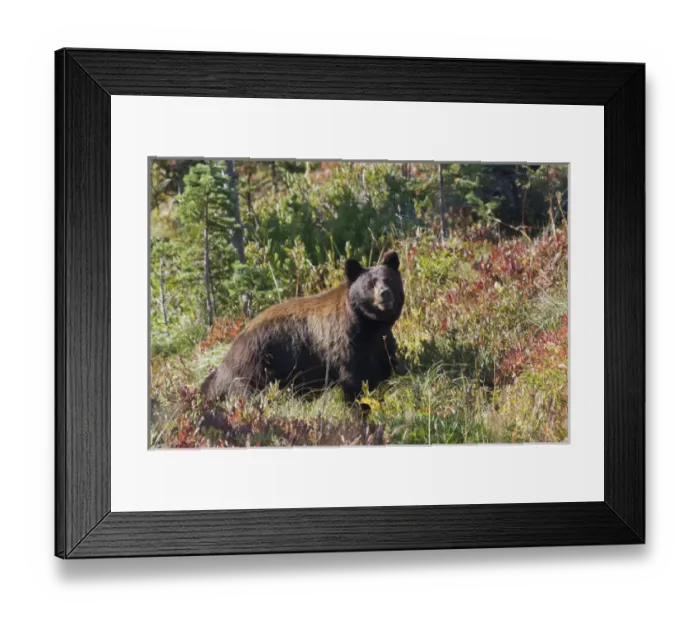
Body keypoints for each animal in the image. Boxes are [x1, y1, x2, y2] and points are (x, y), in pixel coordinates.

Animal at [200, 250, 404, 405]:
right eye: (369, 284)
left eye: (388, 279)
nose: (384, 294)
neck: (368, 325)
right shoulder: (345, 344)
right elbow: (354, 379)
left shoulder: (380, 344)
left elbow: (387, 366)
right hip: (254, 367)